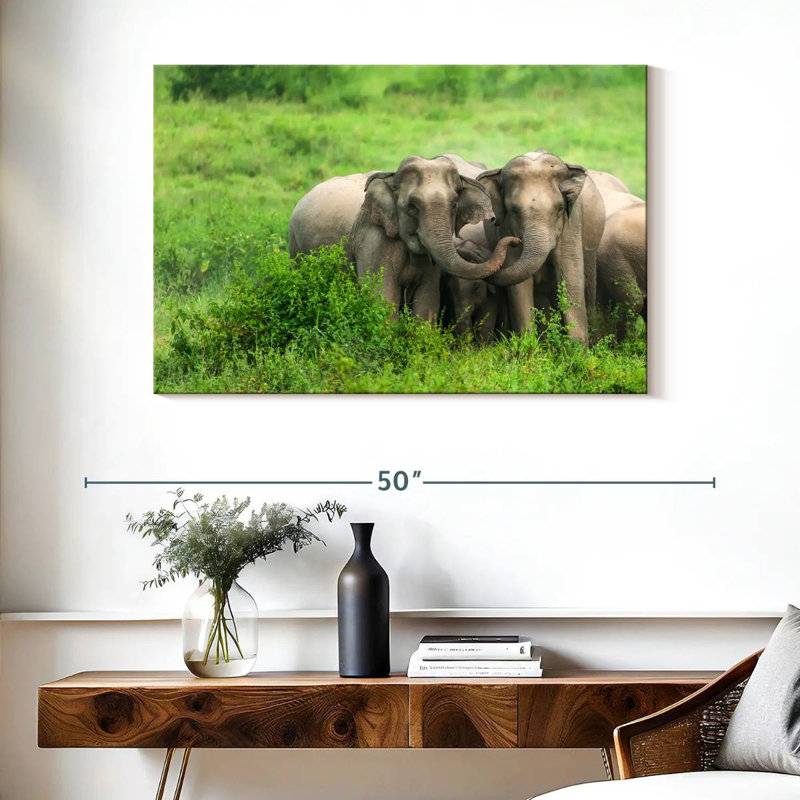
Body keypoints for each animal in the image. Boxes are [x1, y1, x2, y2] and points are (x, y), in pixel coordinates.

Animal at [288, 156, 519, 321]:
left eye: (454, 204)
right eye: (412, 206)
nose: (515, 241)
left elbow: (427, 301)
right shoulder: (373, 241)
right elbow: (382, 297)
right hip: (294, 245)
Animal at [477, 150, 606, 343]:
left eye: (560, 208)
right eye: (514, 211)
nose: (513, 241)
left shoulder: (572, 224)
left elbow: (571, 276)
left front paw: (577, 349)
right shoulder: (506, 226)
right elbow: (519, 286)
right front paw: (528, 346)